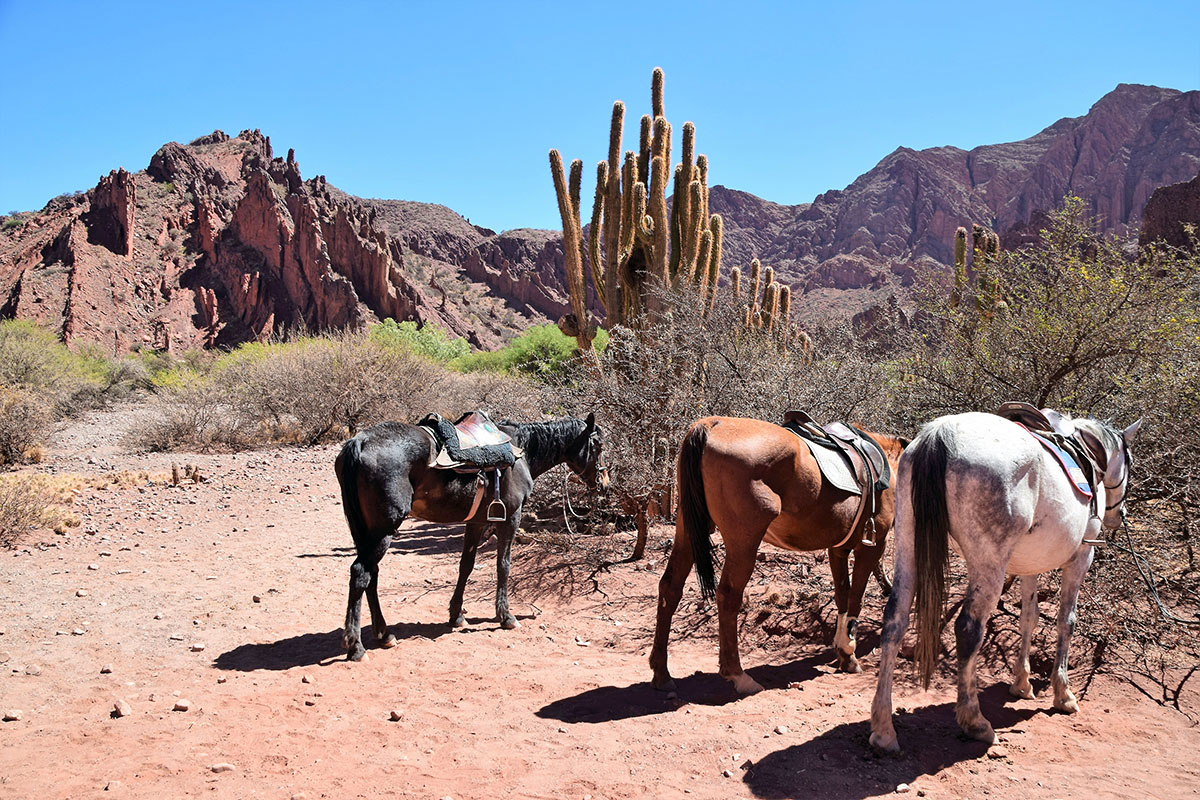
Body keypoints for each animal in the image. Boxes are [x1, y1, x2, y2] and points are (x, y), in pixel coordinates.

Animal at [336, 417, 609, 662]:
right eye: (598, 445)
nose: (605, 483)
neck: (522, 453)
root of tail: (360, 441)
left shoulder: (476, 522)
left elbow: (465, 566)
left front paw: (456, 615)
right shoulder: (510, 518)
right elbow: (503, 566)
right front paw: (506, 617)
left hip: (367, 531)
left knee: (371, 575)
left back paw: (384, 634)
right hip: (383, 530)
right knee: (361, 573)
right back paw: (356, 647)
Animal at [652, 417, 902, 695]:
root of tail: (711, 424)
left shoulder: (838, 549)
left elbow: (843, 597)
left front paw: (842, 651)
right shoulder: (871, 547)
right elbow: (856, 599)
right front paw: (849, 653)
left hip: (687, 530)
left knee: (670, 587)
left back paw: (661, 673)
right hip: (743, 544)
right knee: (727, 596)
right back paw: (738, 675)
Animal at [873, 410, 1132, 753]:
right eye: (1129, 462)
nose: (1119, 514)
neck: (1088, 452)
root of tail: (940, 434)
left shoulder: (1030, 565)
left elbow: (1028, 618)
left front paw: (1021, 683)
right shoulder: (1081, 558)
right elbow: (1066, 621)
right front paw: (1063, 694)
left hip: (908, 544)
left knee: (894, 622)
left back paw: (883, 729)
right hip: (989, 565)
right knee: (968, 629)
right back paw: (975, 721)